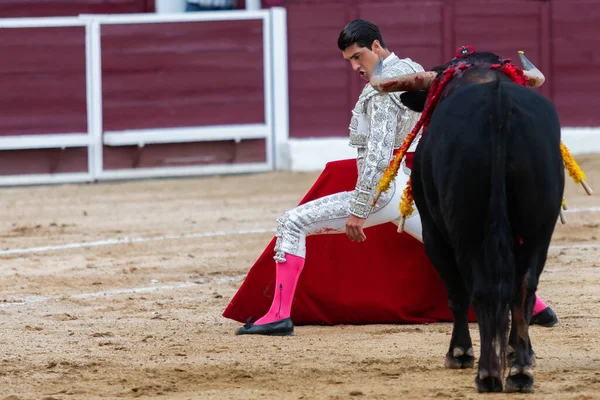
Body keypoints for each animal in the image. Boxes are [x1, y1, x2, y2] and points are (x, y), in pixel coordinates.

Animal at [376, 61, 564, 390]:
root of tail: (499, 106)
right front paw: (520, 352)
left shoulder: (434, 233)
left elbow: (456, 291)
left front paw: (459, 352)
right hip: (539, 228)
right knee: (523, 286)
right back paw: (520, 370)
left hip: (465, 227)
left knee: (479, 286)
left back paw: (487, 372)